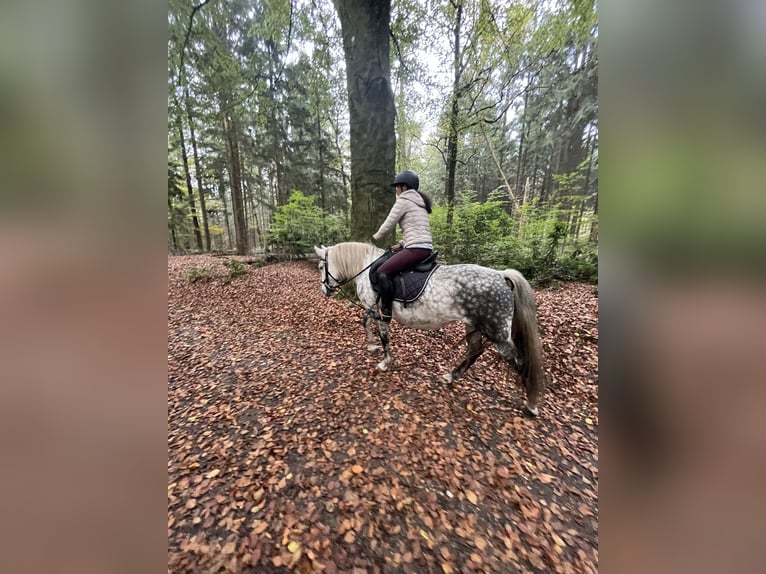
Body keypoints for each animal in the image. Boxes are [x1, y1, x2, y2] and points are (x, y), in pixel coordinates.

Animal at [312, 243, 544, 418]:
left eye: (321, 266)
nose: (324, 290)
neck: (366, 265)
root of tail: (502, 276)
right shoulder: (373, 310)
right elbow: (365, 321)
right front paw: (371, 346)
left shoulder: (376, 309)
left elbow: (381, 334)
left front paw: (384, 361)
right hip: (475, 325)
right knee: (474, 351)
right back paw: (450, 377)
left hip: (497, 332)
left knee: (519, 360)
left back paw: (531, 404)